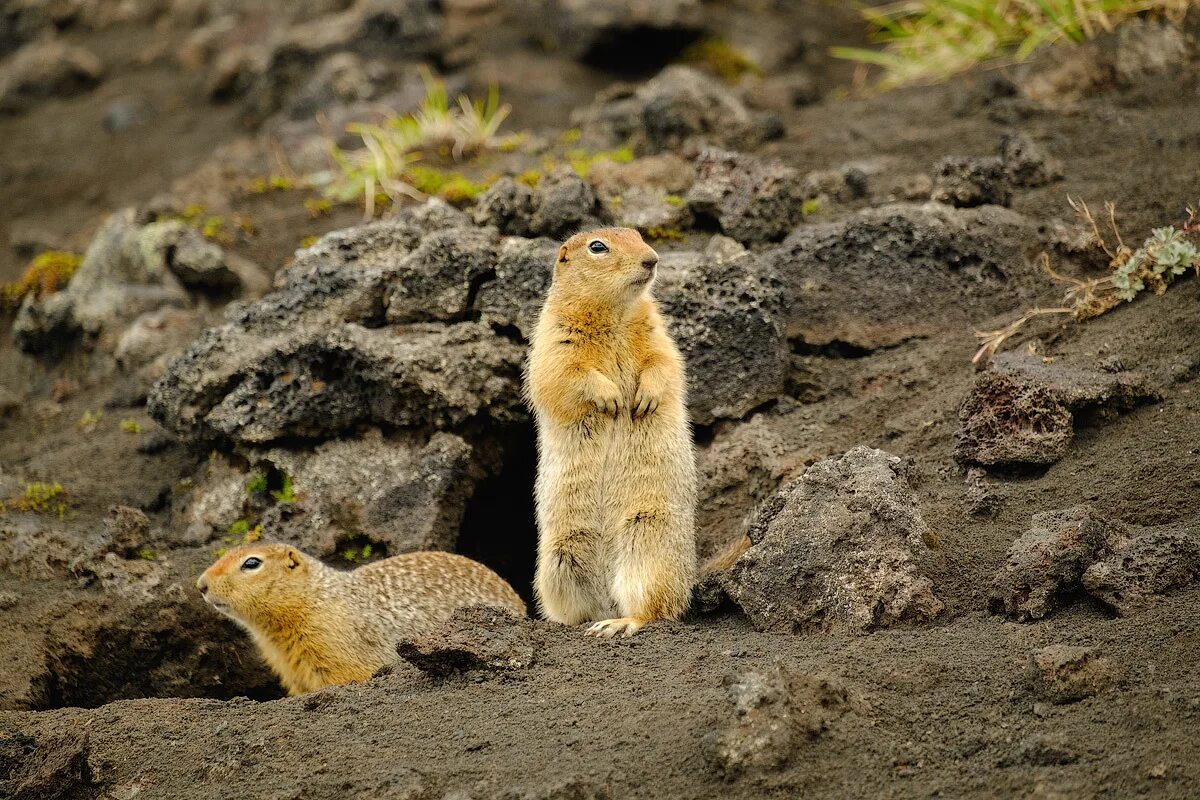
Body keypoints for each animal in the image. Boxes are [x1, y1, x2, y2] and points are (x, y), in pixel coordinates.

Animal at [523, 226, 696, 638]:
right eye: (597, 247)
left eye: (639, 234)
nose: (652, 258)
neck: (614, 313)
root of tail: (607, 599)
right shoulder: (552, 337)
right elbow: (561, 374)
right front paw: (610, 398)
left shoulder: (657, 332)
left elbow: (665, 363)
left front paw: (643, 397)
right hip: (558, 558)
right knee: (576, 609)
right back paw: (582, 623)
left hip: (650, 542)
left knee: (655, 608)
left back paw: (620, 623)